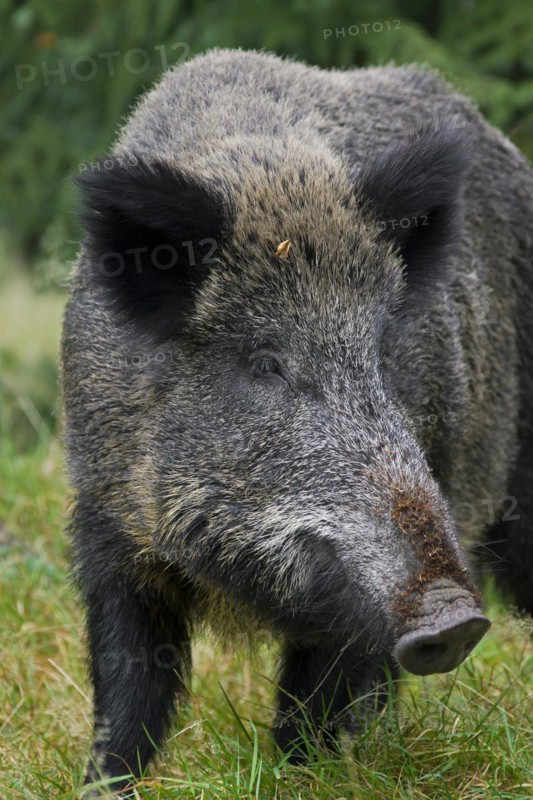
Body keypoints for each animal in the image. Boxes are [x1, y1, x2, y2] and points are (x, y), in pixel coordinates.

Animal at [60, 49, 533, 794]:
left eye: (381, 347)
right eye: (266, 363)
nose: (453, 617)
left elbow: (318, 700)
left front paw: (302, 776)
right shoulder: (109, 525)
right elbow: (127, 688)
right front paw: (103, 784)